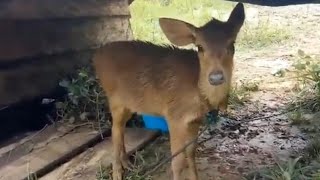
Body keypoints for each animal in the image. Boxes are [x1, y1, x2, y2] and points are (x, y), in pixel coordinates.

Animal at [92, 2, 245, 180]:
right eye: (200, 47)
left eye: (232, 44)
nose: (216, 77)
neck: (198, 92)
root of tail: (97, 55)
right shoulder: (174, 117)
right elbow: (177, 161)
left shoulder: (195, 120)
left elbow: (191, 153)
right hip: (114, 99)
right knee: (115, 130)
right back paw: (117, 172)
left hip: (129, 104)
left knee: (121, 128)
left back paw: (127, 163)